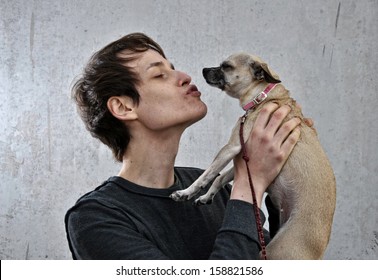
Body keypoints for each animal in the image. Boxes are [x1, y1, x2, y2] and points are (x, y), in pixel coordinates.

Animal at [171, 53, 336, 260]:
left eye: (226, 66)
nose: (203, 70)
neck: (262, 98)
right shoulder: (242, 158)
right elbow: (219, 178)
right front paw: (206, 196)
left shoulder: (231, 148)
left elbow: (208, 175)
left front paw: (185, 192)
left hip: (277, 251)